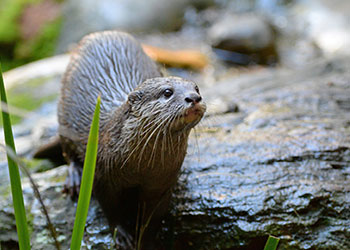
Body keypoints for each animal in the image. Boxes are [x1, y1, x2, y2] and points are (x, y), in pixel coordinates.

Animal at [57, 30, 206, 246]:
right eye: (167, 92)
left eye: (197, 89)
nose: (193, 98)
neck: (142, 168)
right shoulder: (102, 175)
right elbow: (111, 209)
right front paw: (121, 235)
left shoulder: (163, 183)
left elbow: (153, 217)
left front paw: (146, 239)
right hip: (63, 117)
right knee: (67, 151)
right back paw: (75, 177)